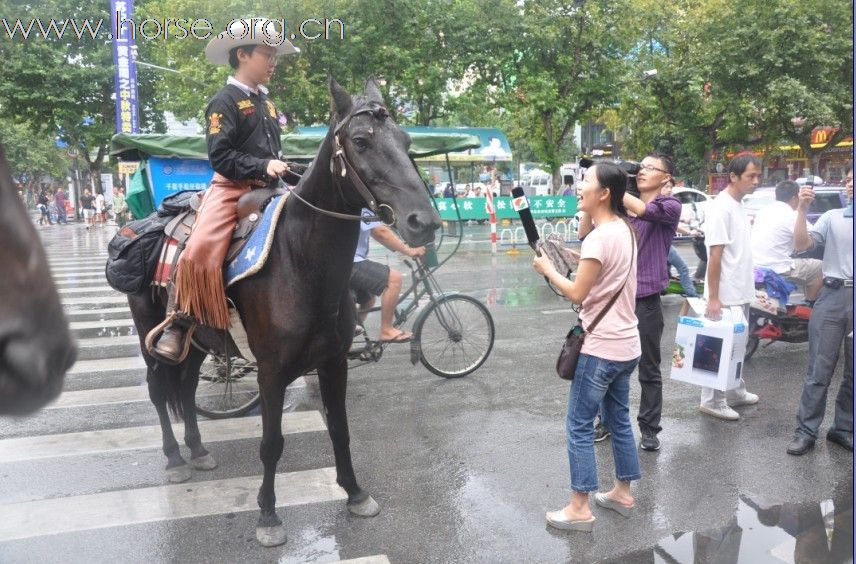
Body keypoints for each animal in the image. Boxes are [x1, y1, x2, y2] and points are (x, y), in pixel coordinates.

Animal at [127, 79, 442, 548]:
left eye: (405, 142)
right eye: (361, 141)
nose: (425, 222)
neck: (300, 264)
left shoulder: (333, 362)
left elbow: (340, 429)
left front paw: (354, 493)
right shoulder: (271, 372)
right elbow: (271, 443)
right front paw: (268, 514)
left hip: (199, 341)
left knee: (184, 388)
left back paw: (197, 451)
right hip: (149, 336)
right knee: (157, 390)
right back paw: (174, 458)